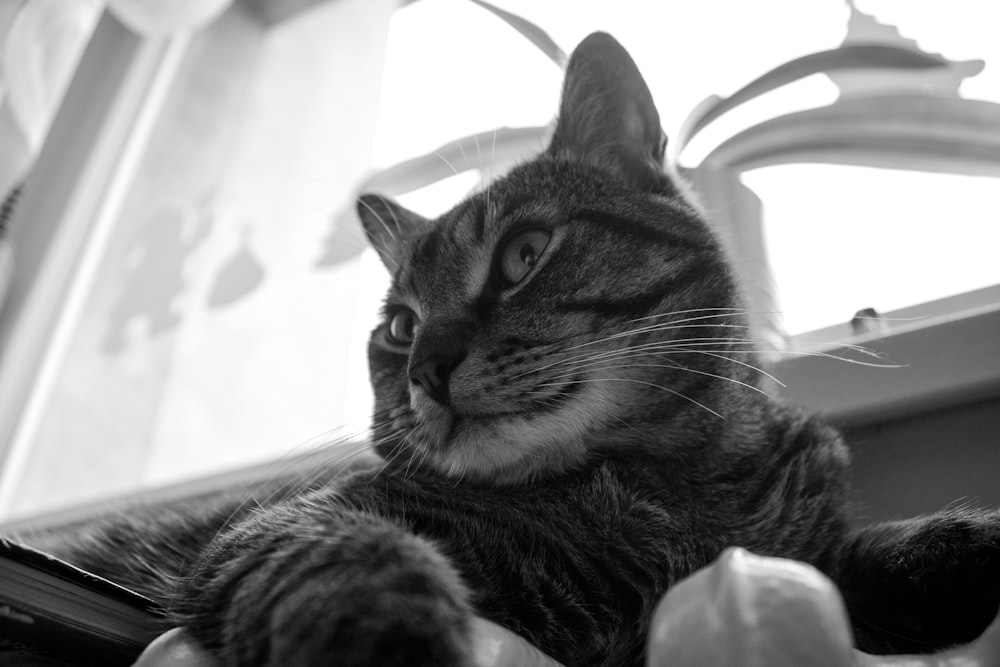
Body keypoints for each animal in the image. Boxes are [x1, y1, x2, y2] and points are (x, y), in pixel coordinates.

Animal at [13, 31, 1000, 667]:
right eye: (399, 325)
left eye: (525, 254)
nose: (424, 367)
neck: (670, 493)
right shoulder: (281, 522)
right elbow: (346, 554)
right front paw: (391, 636)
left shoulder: (797, 550)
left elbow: (877, 547)